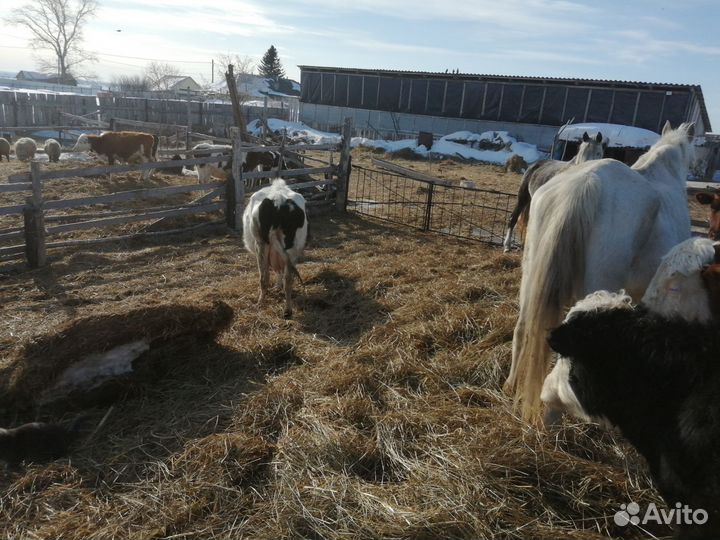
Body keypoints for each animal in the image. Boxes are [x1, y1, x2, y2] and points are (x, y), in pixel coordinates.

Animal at [242, 179, 307, 318]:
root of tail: (279, 201)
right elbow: (281, 272)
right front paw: (278, 287)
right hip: (292, 247)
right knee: (288, 279)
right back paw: (288, 310)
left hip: (261, 244)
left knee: (264, 277)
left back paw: (260, 303)